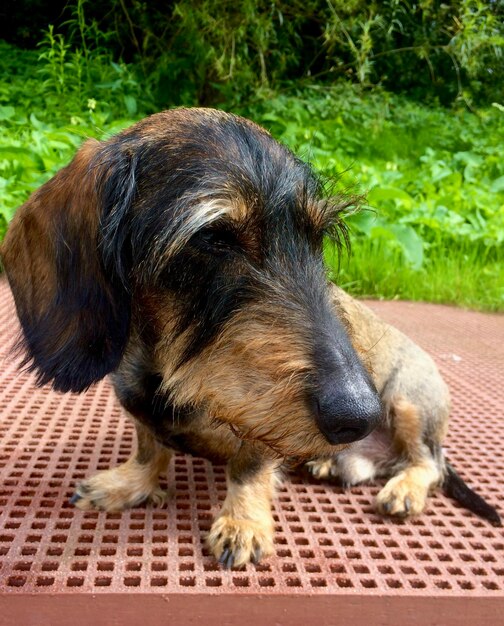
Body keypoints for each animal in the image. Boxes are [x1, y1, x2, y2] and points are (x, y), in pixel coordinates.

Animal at [0, 108, 500, 572]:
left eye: (317, 239)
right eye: (213, 237)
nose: (357, 416)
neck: (172, 377)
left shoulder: (262, 425)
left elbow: (249, 466)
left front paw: (242, 521)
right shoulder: (140, 408)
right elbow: (149, 448)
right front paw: (132, 483)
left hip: (410, 402)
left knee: (427, 464)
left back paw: (404, 489)